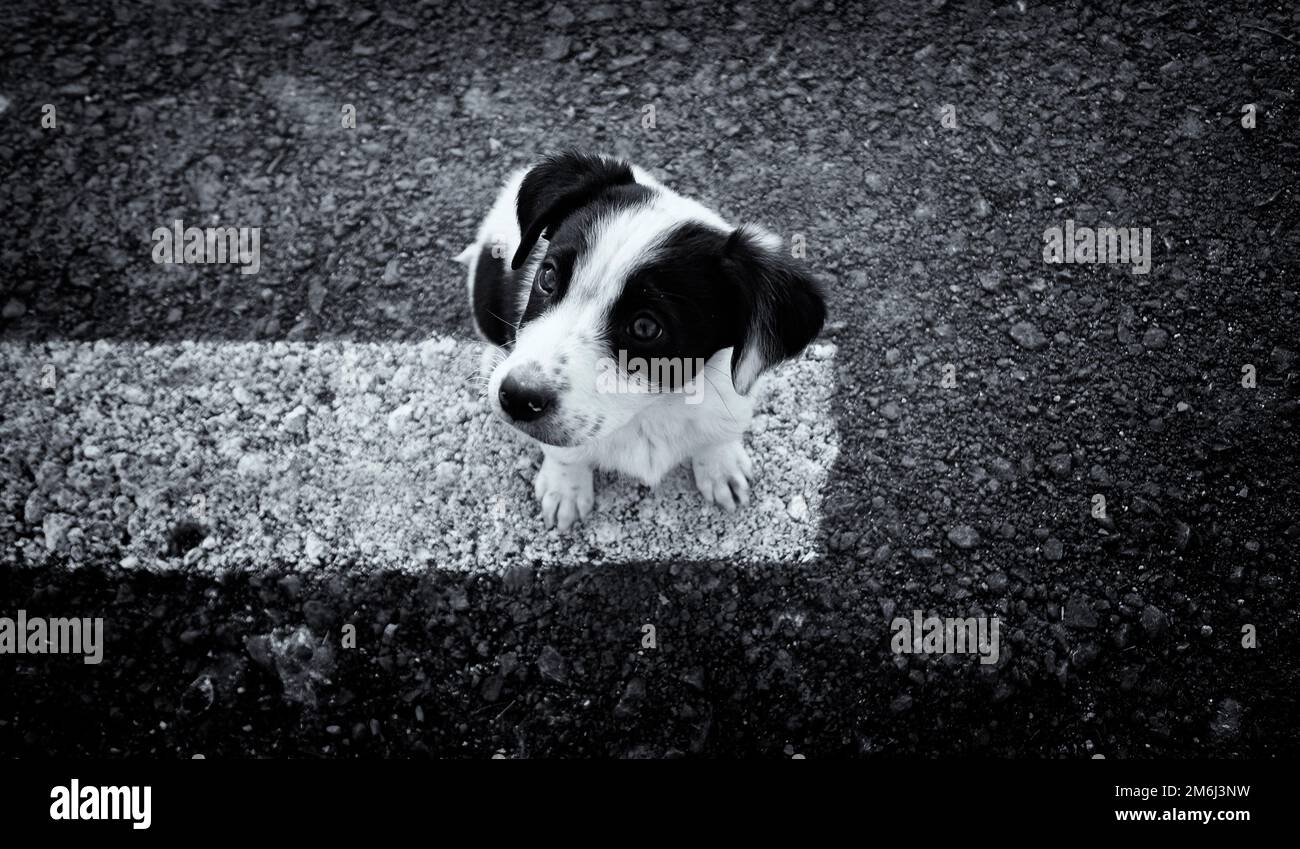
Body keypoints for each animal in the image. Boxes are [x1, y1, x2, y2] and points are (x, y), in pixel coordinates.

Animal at [457, 148, 821, 525]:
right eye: (547, 277)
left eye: (645, 327)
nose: (516, 396)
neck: (652, 410)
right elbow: (565, 454)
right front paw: (565, 488)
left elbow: (719, 434)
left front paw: (721, 466)